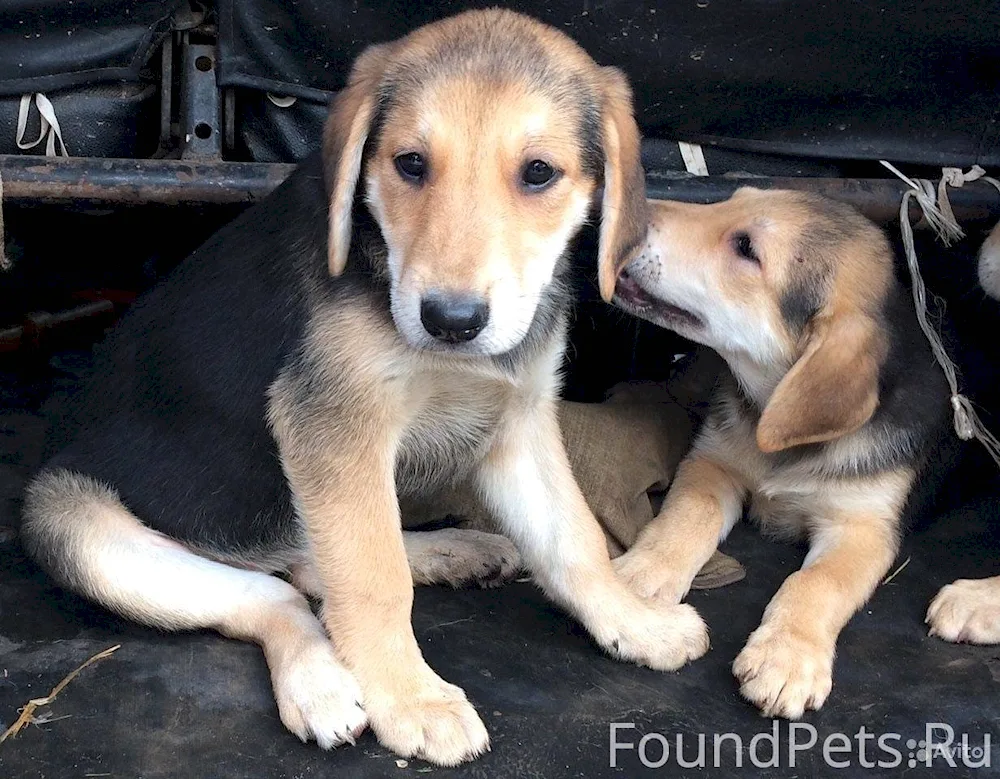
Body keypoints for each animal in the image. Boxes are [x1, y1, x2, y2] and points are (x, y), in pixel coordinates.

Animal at [17, 9, 704, 772]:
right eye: (410, 164)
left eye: (538, 173)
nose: (452, 320)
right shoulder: (333, 425)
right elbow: (374, 579)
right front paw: (412, 698)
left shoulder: (518, 421)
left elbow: (574, 539)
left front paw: (630, 620)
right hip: (75, 523)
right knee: (280, 596)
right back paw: (321, 682)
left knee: (310, 566)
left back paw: (450, 550)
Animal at [608, 187, 952, 720]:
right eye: (728, 200)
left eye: (746, 248)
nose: (624, 211)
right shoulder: (713, 463)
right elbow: (689, 516)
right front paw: (642, 576)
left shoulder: (864, 528)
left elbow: (816, 582)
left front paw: (787, 658)